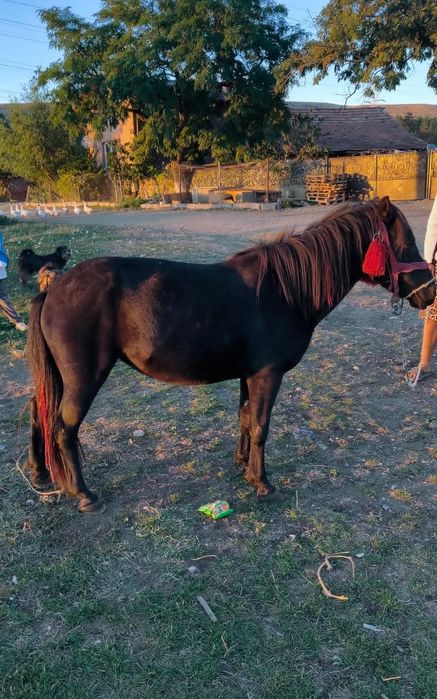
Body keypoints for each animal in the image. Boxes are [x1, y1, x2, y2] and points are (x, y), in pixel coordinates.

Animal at [25, 197, 435, 514]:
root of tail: (54, 288)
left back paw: (40, 471)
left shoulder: (248, 374)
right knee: (63, 428)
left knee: (38, 412)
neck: (285, 291)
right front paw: (262, 482)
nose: (430, 292)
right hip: (84, 378)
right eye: (407, 242)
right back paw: (83, 494)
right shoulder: (268, 374)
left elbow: (244, 418)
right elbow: (261, 425)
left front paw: (242, 466)